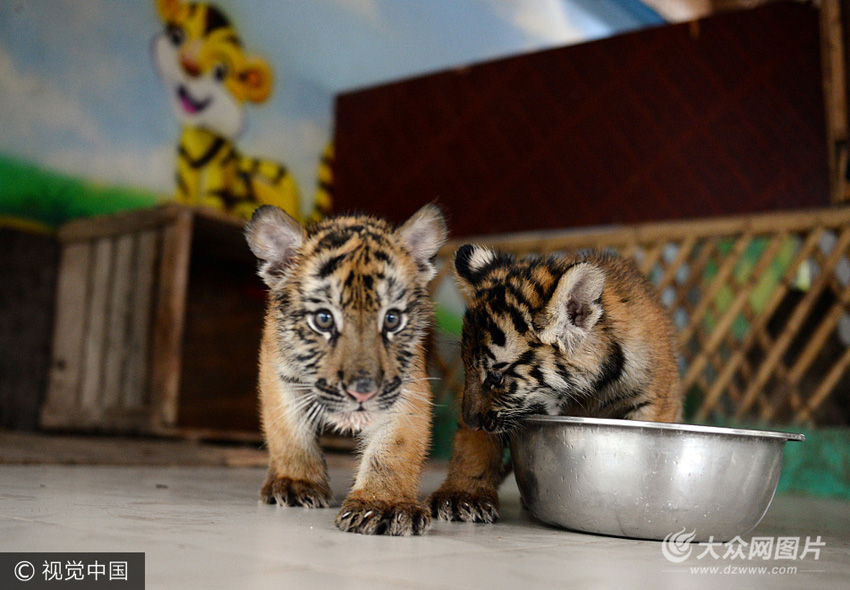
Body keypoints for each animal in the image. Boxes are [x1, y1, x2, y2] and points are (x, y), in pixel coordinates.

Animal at [153, 0, 329, 222]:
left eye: (220, 71)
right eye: (177, 36)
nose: (189, 64)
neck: (201, 133)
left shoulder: (220, 168)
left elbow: (214, 193)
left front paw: (211, 207)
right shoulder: (186, 163)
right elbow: (185, 187)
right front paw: (177, 201)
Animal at [245, 203, 448, 535]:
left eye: (392, 319)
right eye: (323, 319)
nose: (362, 391)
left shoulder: (406, 385)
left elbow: (395, 446)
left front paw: (383, 503)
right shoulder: (279, 374)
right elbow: (287, 430)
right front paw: (296, 483)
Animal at [428, 245, 682, 523]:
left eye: (496, 376)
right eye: (466, 368)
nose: (472, 422)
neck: (588, 392)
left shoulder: (654, 400)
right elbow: (473, 446)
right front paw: (462, 495)